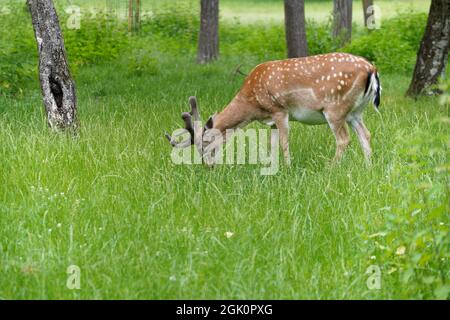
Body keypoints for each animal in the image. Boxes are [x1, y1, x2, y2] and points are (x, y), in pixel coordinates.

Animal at [165, 52, 380, 166]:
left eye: (206, 142)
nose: (208, 166)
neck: (252, 104)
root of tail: (372, 69)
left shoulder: (279, 110)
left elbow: (284, 142)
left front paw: (288, 167)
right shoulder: (271, 121)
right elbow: (272, 144)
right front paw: (270, 167)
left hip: (334, 108)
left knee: (344, 139)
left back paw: (330, 167)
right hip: (355, 112)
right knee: (366, 134)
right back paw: (368, 167)